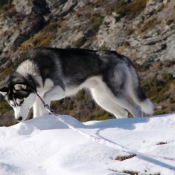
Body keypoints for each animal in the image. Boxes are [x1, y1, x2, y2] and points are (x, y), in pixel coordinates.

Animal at [0, 47, 153, 121]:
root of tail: (119, 55)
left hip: (115, 93)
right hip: (102, 98)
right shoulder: (37, 97)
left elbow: (47, 98)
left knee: (136, 108)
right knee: (122, 112)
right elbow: (38, 112)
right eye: (12, 105)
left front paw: (47, 110)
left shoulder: (60, 89)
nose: (18, 119)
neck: (33, 70)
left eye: (20, 101)